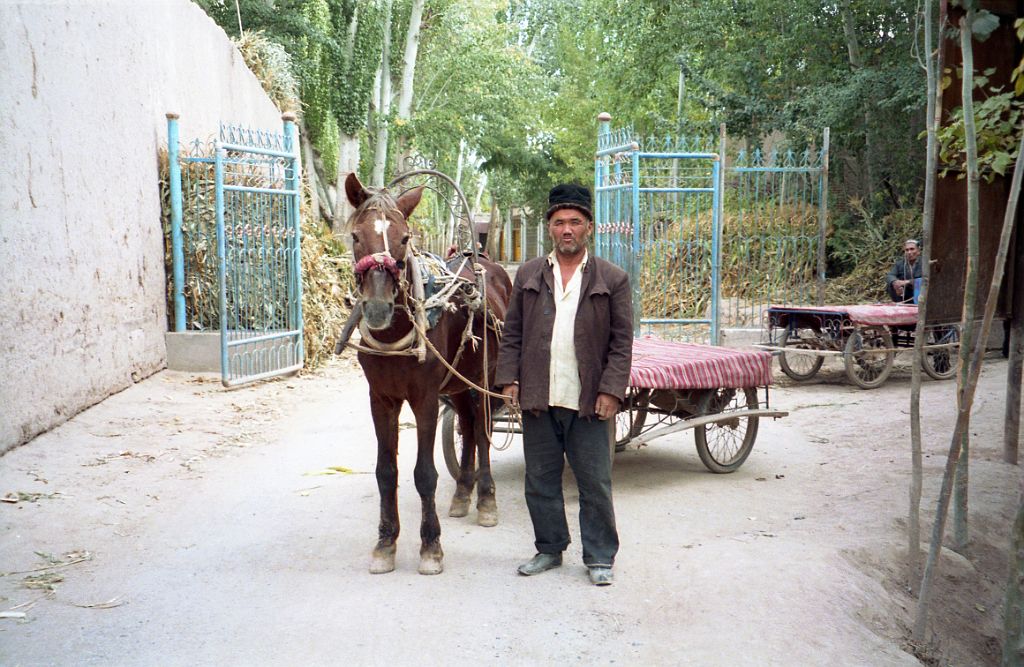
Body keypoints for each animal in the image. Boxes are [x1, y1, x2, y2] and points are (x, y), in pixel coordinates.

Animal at [344, 172, 512, 573]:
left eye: (405, 238)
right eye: (356, 236)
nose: (377, 309)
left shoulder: (424, 400)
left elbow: (424, 474)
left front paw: (430, 546)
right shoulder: (381, 399)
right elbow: (385, 472)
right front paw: (385, 543)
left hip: (483, 380)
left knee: (482, 432)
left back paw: (486, 499)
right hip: (457, 384)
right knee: (467, 426)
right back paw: (463, 492)